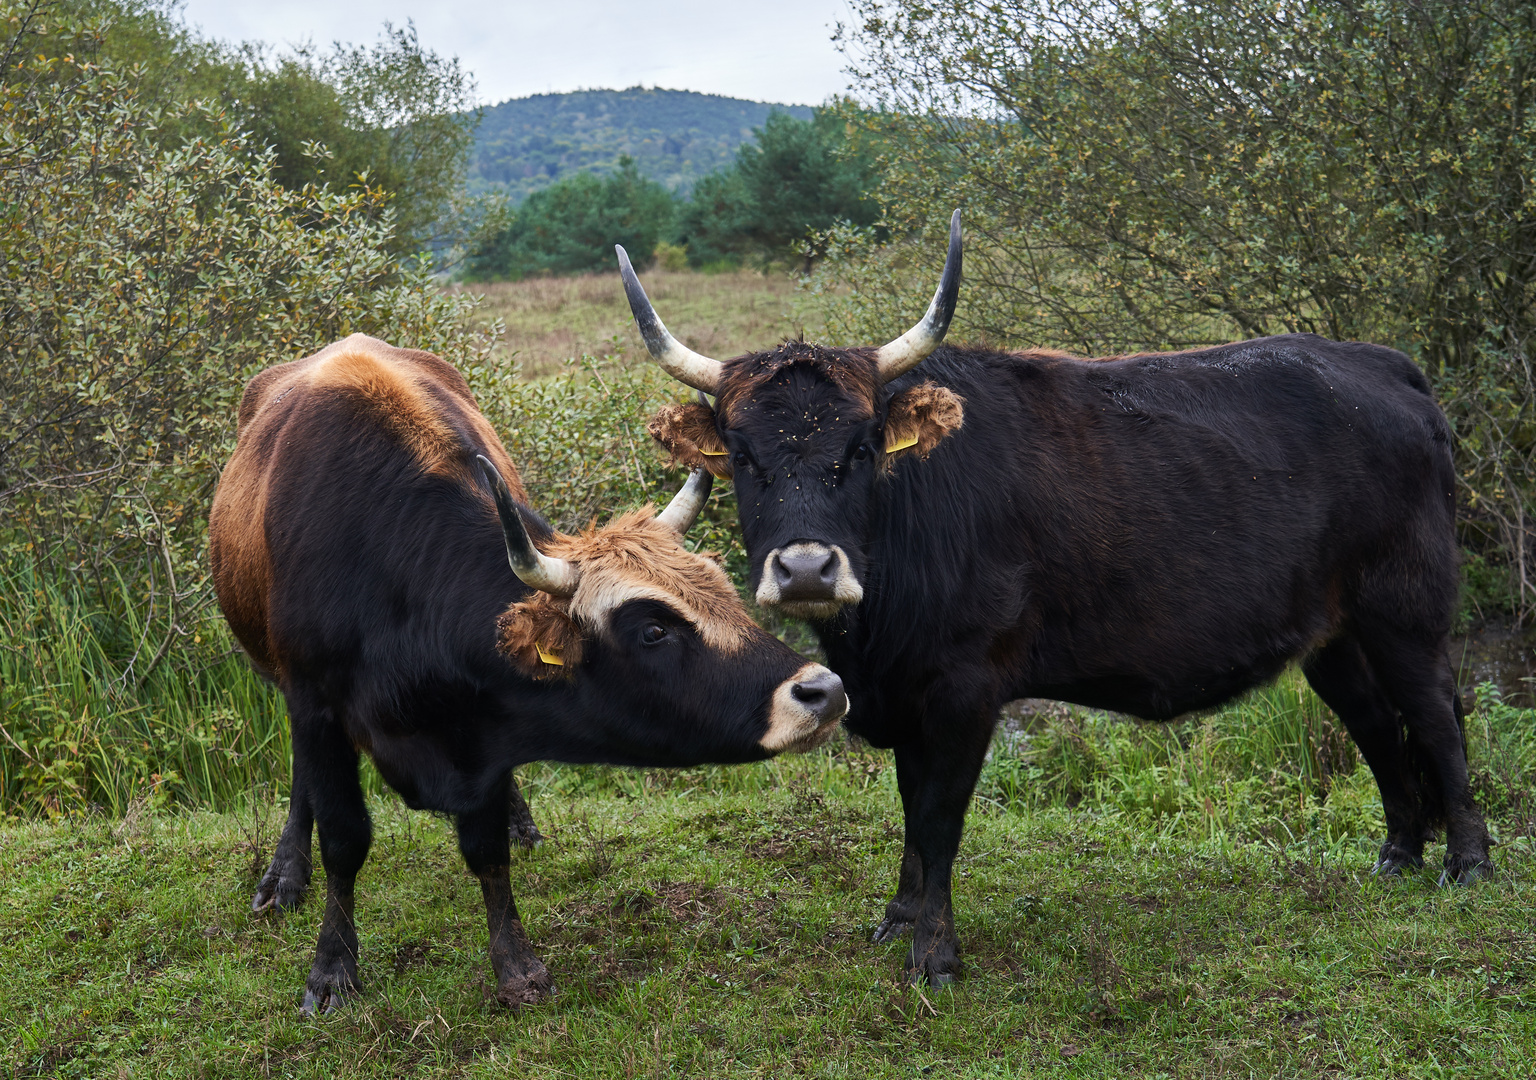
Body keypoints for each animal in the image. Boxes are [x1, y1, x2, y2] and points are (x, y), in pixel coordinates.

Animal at [210, 333, 847, 1007]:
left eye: (725, 592)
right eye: (651, 629)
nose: (823, 690)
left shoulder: (485, 727)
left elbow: (487, 852)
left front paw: (515, 964)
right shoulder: (316, 705)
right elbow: (343, 839)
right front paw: (332, 966)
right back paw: (284, 874)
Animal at [617, 215, 1492, 995]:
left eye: (861, 448)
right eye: (741, 455)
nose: (805, 569)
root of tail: (1383, 363)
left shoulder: (965, 691)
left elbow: (938, 818)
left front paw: (935, 955)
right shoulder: (905, 691)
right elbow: (909, 808)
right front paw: (899, 917)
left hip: (1408, 610)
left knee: (1436, 717)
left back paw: (1468, 863)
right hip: (1334, 633)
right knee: (1376, 724)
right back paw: (1398, 857)